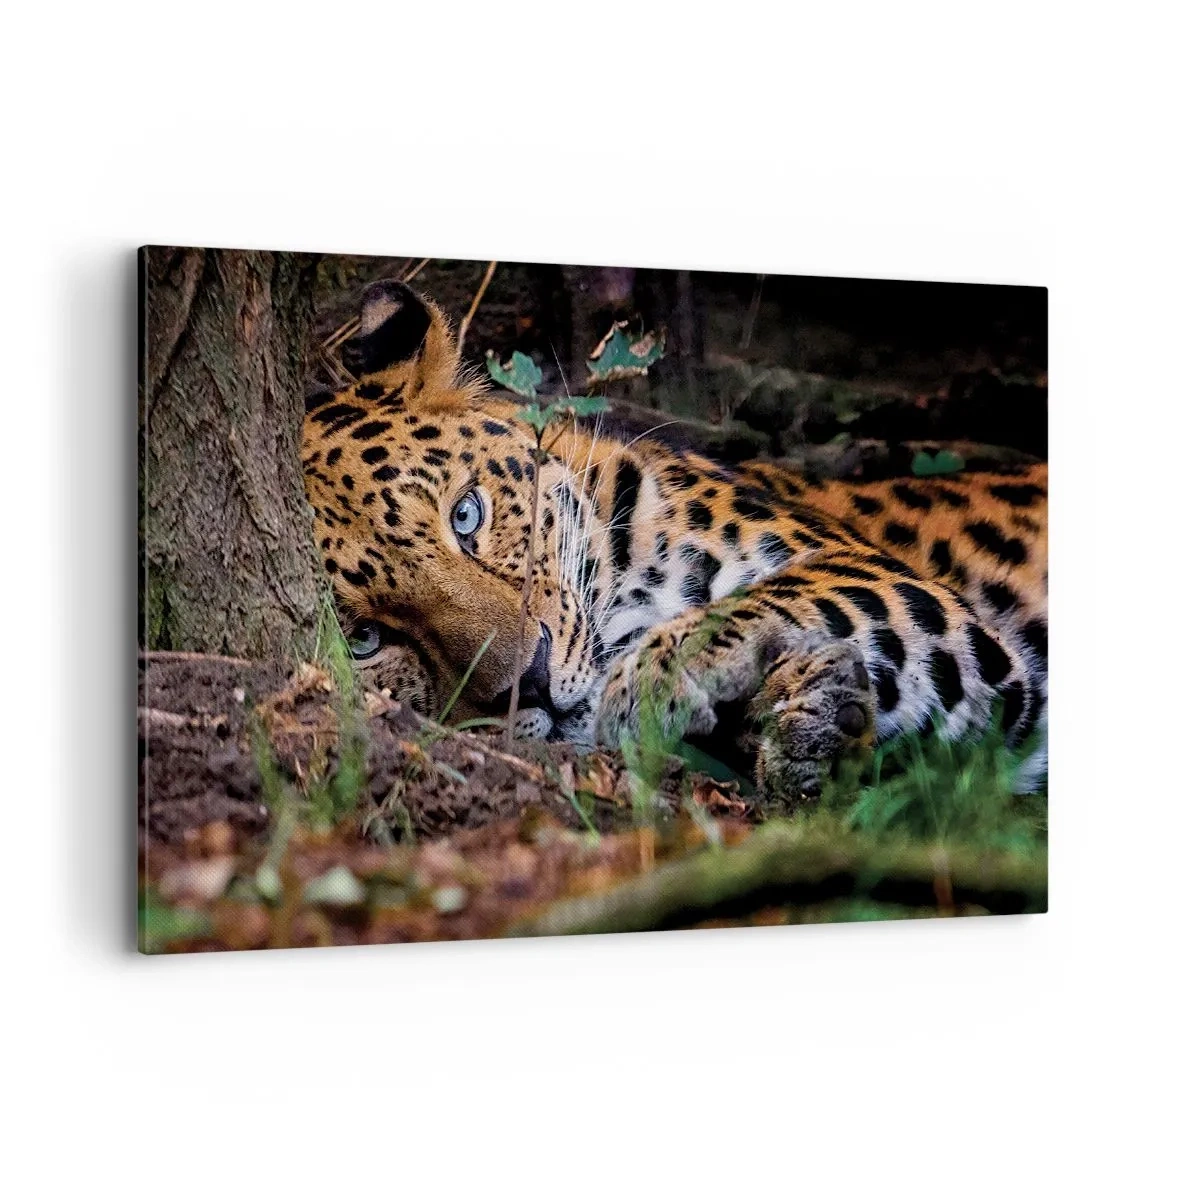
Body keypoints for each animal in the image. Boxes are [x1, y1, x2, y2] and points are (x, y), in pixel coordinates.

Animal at [302, 281, 1047, 800]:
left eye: (465, 516)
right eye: (364, 640)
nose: (531, 684)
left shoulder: (887, 578)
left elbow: (791, 589)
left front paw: (661, 673)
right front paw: (815, 727)